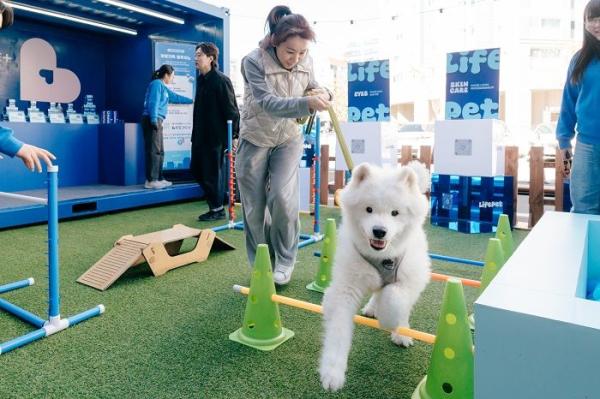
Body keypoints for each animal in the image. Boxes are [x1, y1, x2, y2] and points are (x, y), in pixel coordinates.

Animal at [318, 161, 432, 392]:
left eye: (395, 213)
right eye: (368, 209)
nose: (379, 231)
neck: (382, 257)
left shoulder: (411, 278)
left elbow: (394, 298)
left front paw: (390, 321)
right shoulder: (346, 289)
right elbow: (338, 332)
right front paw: (332, 373)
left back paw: (400, 331)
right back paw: (372, 308)